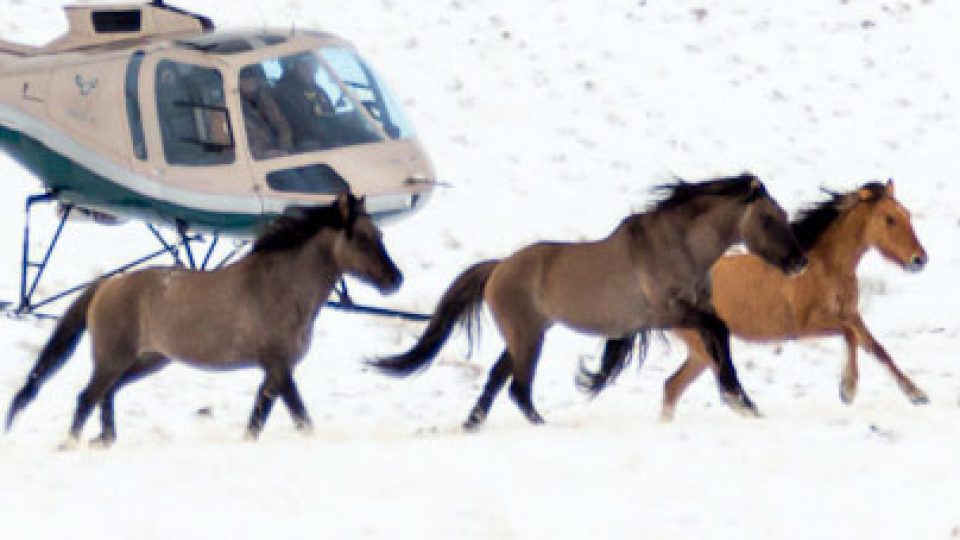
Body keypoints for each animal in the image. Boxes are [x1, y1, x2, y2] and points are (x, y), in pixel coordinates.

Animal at [5, 193, 403, 448]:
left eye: (381, 235)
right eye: (362, 237)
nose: (395, 279)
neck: (281, 287)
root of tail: (107, 284)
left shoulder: (274, 371)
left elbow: (258, 418)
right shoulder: (279, 366)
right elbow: (300, 417)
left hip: (148, 361)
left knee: (107, 394)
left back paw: (104, 441)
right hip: (112, 360)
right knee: (87, 397)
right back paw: (72, 444)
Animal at [369, 173, 807, 430]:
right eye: (767, 218)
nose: (799, 262)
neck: (678, 246)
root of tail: (498, 268)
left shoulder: (695, 311)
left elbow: (720, 342)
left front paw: (743, 402)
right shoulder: (670, 314)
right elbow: (719, 334)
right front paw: (737, 399)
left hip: (524, 336)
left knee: (498, 378)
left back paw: (474, 423)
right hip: (527, 337)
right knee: (518, 388)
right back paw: (541, 425)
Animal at [580, 180, 928, 420]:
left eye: (907, 214)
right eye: (889, 219)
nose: (919, 260)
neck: (823, 267)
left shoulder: (851, 315)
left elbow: (878, 349)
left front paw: (917, 395)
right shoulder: (806, 326)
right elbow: (850, 338)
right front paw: (848, 390)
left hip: (700, 353)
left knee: (672, 387)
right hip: (704, 347)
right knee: (699, 386)